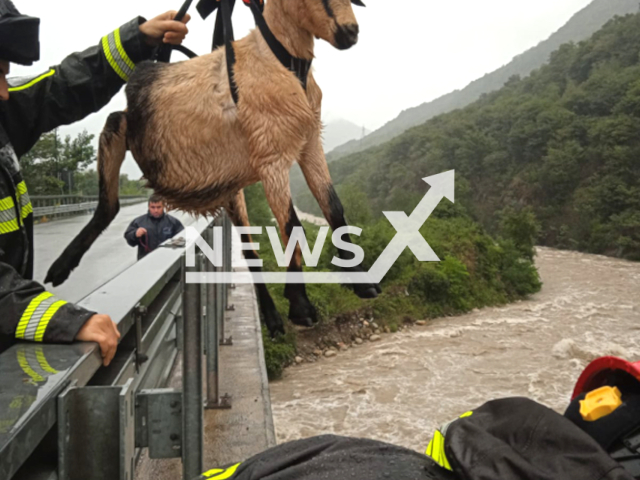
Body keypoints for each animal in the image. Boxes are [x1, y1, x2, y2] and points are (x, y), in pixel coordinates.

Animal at [47, 0, 382, 338]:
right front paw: (302, 307)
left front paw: (363, 283)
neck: (280, 62)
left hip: (231, 190)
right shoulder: (271, 155)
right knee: (110, 203)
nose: (349, 32)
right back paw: (59, 268)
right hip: (121, 128)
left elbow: (333, 208)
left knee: (248, 250)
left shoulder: (310, 143)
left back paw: (273, 320)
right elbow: (293, 225)